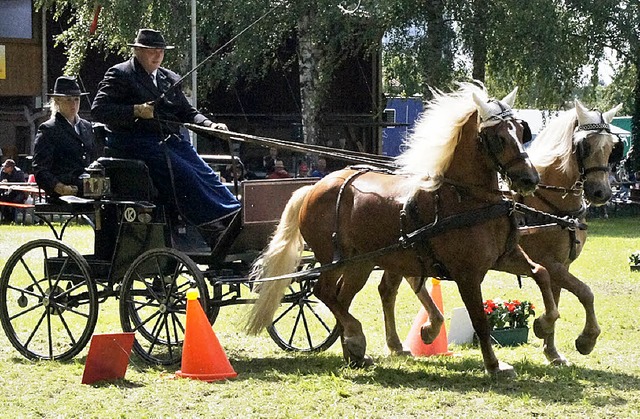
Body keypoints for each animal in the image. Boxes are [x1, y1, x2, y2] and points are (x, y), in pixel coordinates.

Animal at [245, 84, 556, 378]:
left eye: (521, 130)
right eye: (498, 137)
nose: (529, 179)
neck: (466, 199)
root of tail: (314, 187)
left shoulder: (504, 257)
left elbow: (542, 273)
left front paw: (544, 324)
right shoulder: (467, 274)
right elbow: (479, 318)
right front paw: (494, 365)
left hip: (360, 263)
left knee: (341, 298)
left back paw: (354, 352)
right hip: (333, 259)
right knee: (324, 292)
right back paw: (356, 336)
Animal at [378, 99, 624, 368]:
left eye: (612, 147)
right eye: (585, 145)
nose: (601, 192)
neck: (549, 205)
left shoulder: (561, 264)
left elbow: (559, 297)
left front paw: (552, 350)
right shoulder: (550, 263)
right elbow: (585, 292)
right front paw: (584, 338)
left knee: (396, 286)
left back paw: (409, 337)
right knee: (398, 287)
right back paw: (414, 335)